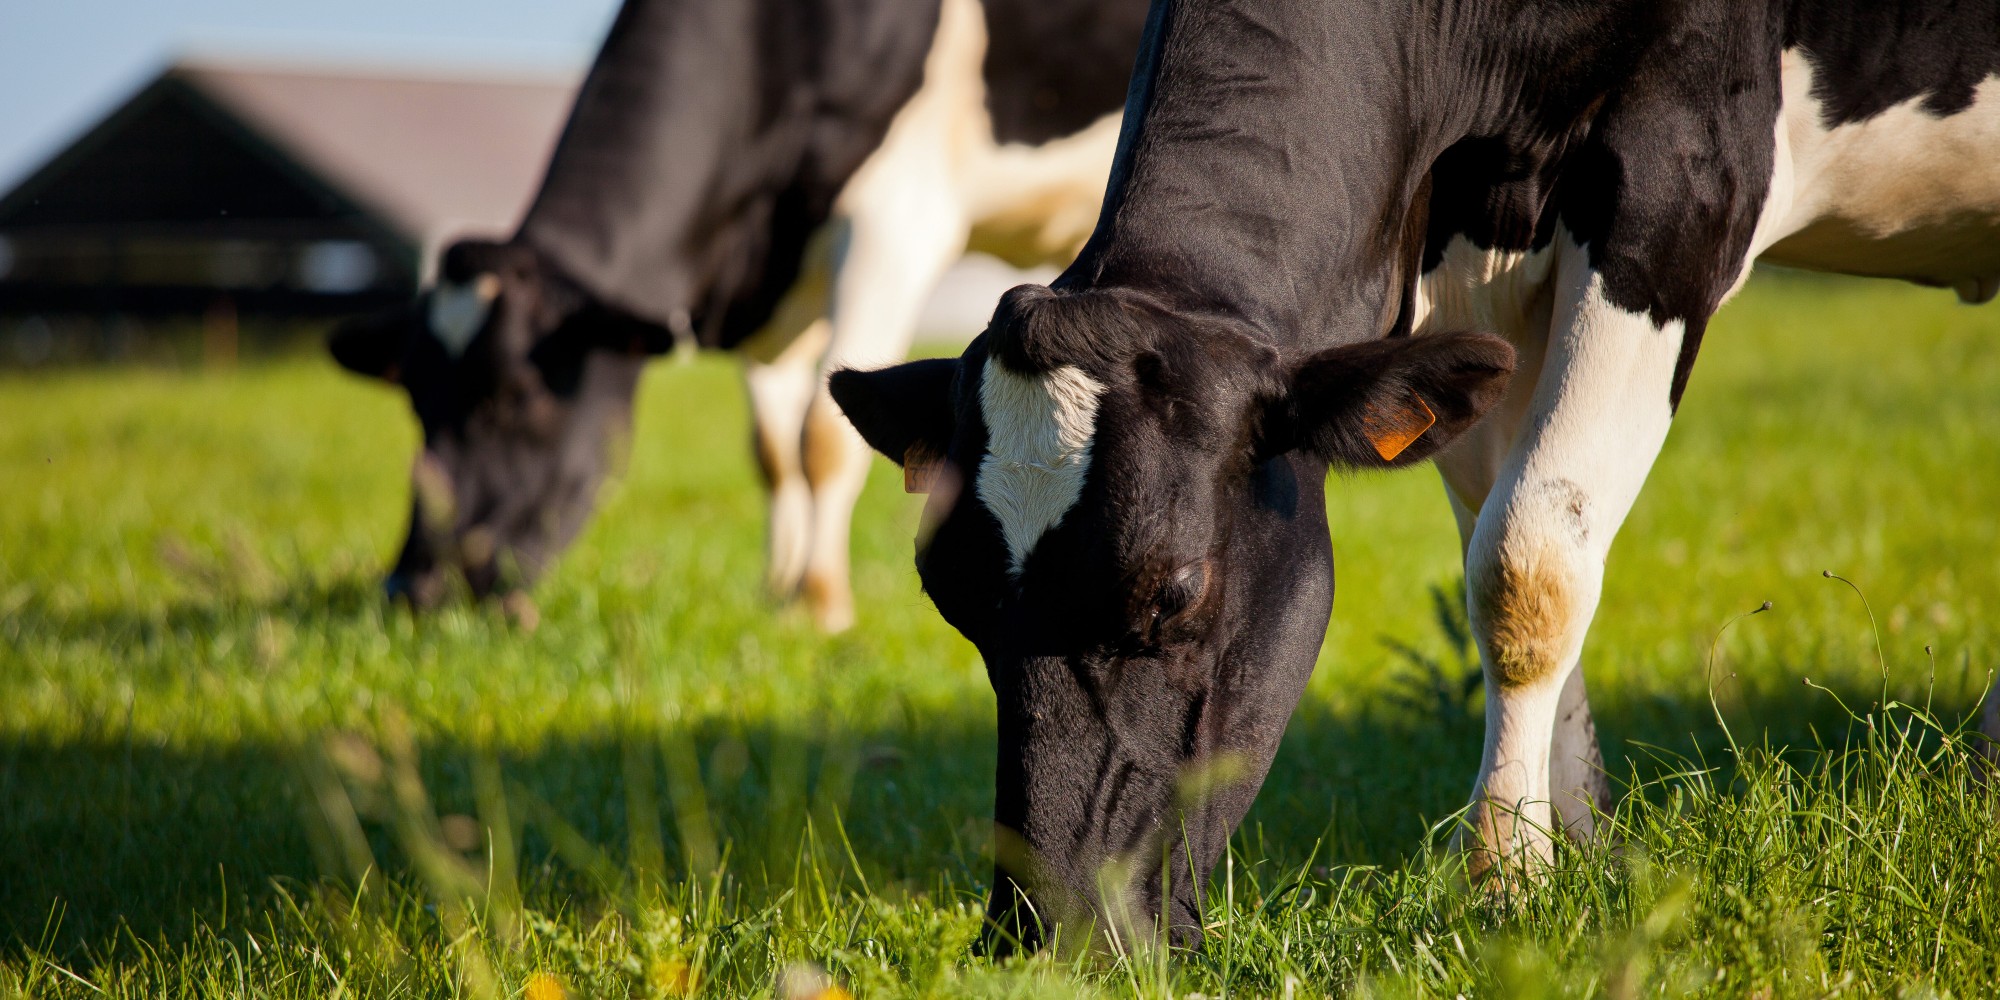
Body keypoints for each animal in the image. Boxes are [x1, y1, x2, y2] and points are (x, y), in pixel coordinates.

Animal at [328, 0, 1150, 630]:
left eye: (520, 397)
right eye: (414, 400)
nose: (412, 588)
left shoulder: (895, 219)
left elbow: (823, 437)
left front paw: (821, 606)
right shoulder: (771, 290)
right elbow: (772, 449)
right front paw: (777, 593)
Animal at [831, 0, 2000, 950]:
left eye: (1174, 591)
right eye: (952, 600)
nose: (1041, 935)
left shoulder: (1683, 179)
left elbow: (1528, 560)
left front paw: (1501, 877)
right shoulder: (1461, 243)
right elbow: (1508, 537)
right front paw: (1573, 849)